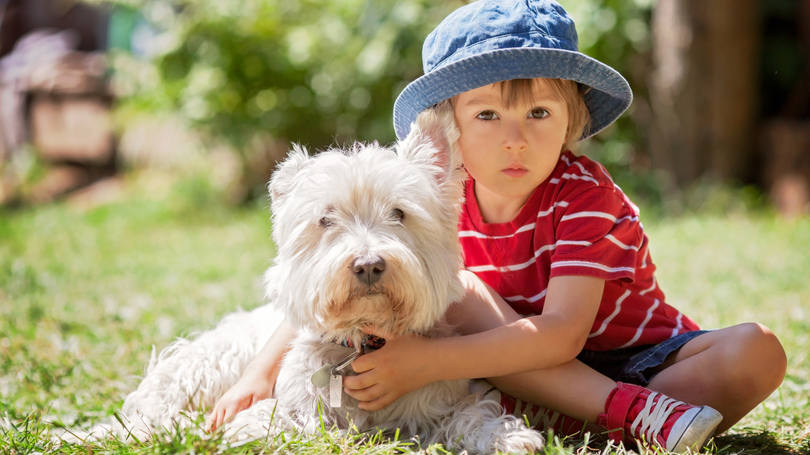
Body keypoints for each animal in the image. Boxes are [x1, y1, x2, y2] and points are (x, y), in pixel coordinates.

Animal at [69, 108, 548, 454]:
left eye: (399, 213)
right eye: (325, 219)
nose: (368, 265)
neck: (362, 344)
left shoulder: (441, 396)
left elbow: (471, 414)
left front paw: (509, 437)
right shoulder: (291, 409)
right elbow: (285, 427)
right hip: (206, 364)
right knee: (149, 413)